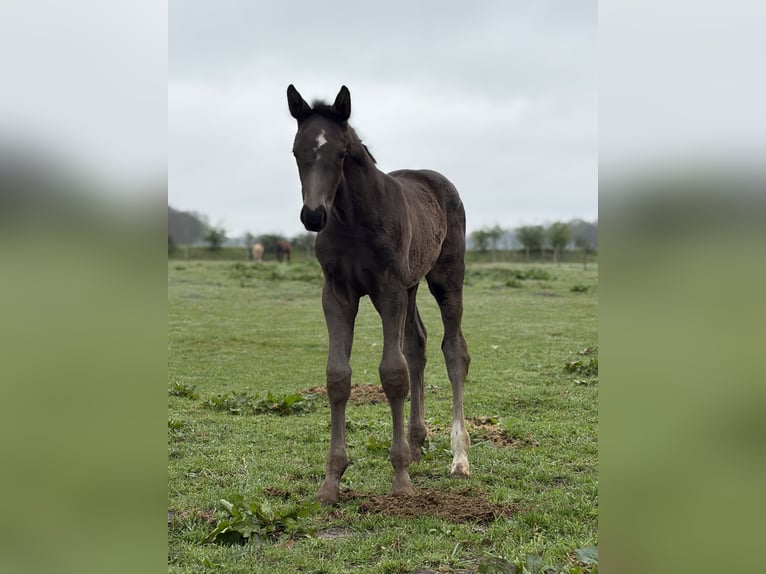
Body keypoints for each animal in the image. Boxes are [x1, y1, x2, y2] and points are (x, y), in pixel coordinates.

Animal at [287, 84, 470, 504]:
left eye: (340, 154)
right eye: (296, 151)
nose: (313, 216)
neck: (353, 218)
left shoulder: (388, 290)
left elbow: (393, 374)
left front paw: (401, 479)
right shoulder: (337, 293)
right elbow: (338, 376)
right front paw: (331, 481)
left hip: (446, 278)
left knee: (454, 351)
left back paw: (459, 458)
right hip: (412, 284)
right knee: (417, 343)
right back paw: (418, 444)